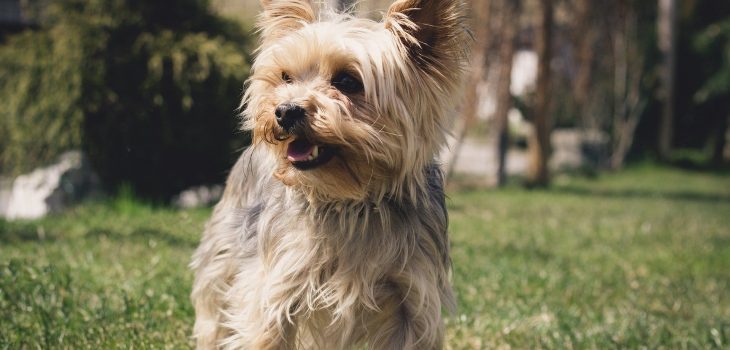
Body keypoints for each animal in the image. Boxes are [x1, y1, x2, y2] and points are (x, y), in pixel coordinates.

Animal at [191, 0, 466, 348]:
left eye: (347, 81)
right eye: (286, 77)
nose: (285, 110)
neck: (352, 200)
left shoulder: (414, 298)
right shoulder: (275, 287)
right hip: (224, 252)